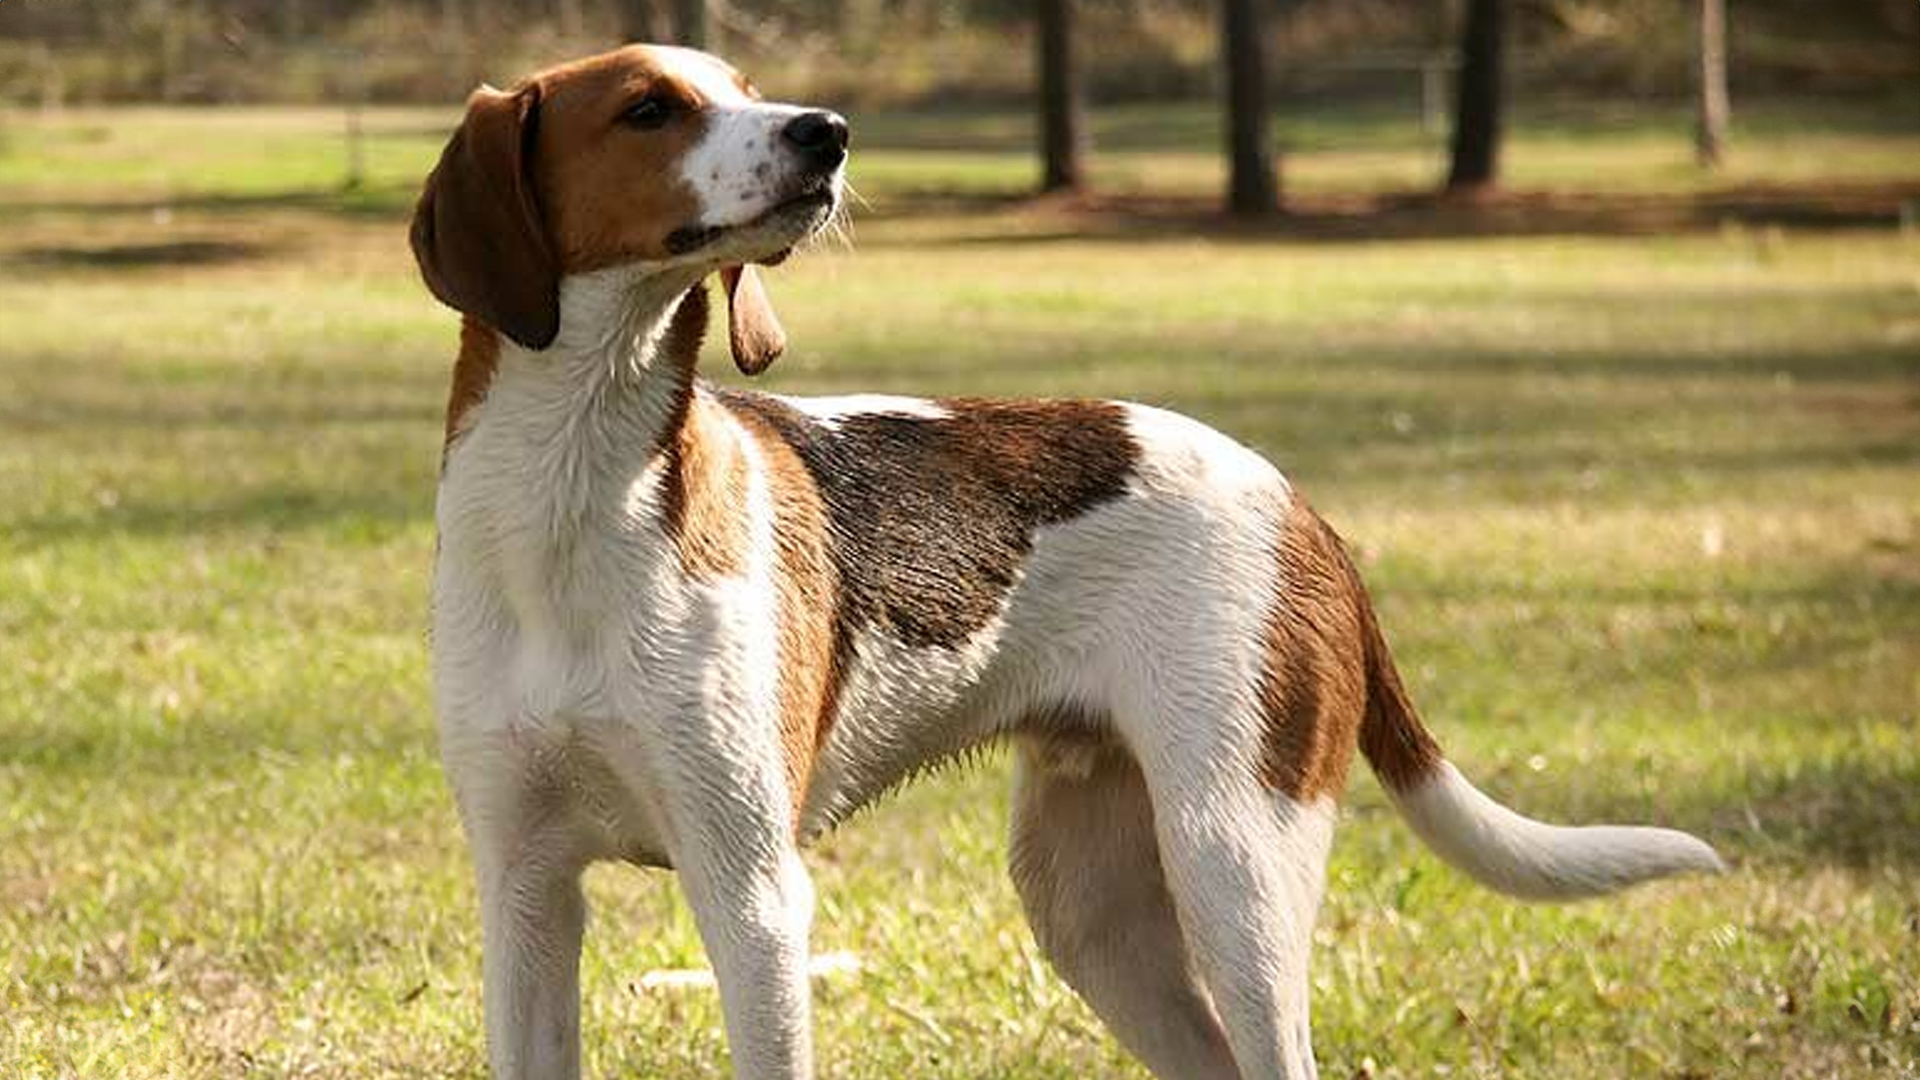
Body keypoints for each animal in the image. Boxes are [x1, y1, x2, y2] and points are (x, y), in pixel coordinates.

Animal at [408, 44, 1728, 1076]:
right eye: (649, 109)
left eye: (742, 88)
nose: (827, 131)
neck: (572, 496)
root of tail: (1301, 506)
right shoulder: (524, 893)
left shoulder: (753, 895)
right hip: (1090, 904)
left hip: (1233, 866)